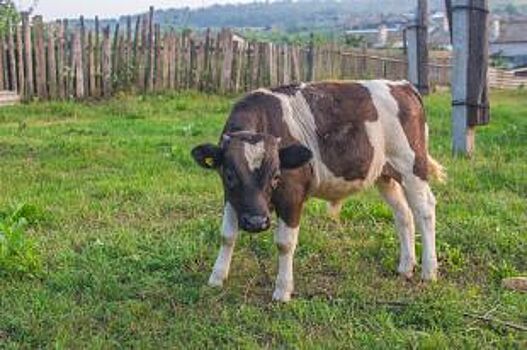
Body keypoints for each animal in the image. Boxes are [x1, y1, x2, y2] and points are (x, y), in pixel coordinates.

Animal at [192, 79, 444, 300]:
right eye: (229, 175)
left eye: (276, 176)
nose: (256, 222)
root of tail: (402, 85)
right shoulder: (232, 198)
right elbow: (227, 235)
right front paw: (217, 277)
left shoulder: (292, 195)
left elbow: (285, 243)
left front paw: (283, 290)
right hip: (385, 175)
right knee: (403, 214)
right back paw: (406, 266)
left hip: (413, 167)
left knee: (425, 210)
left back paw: (429, 271)